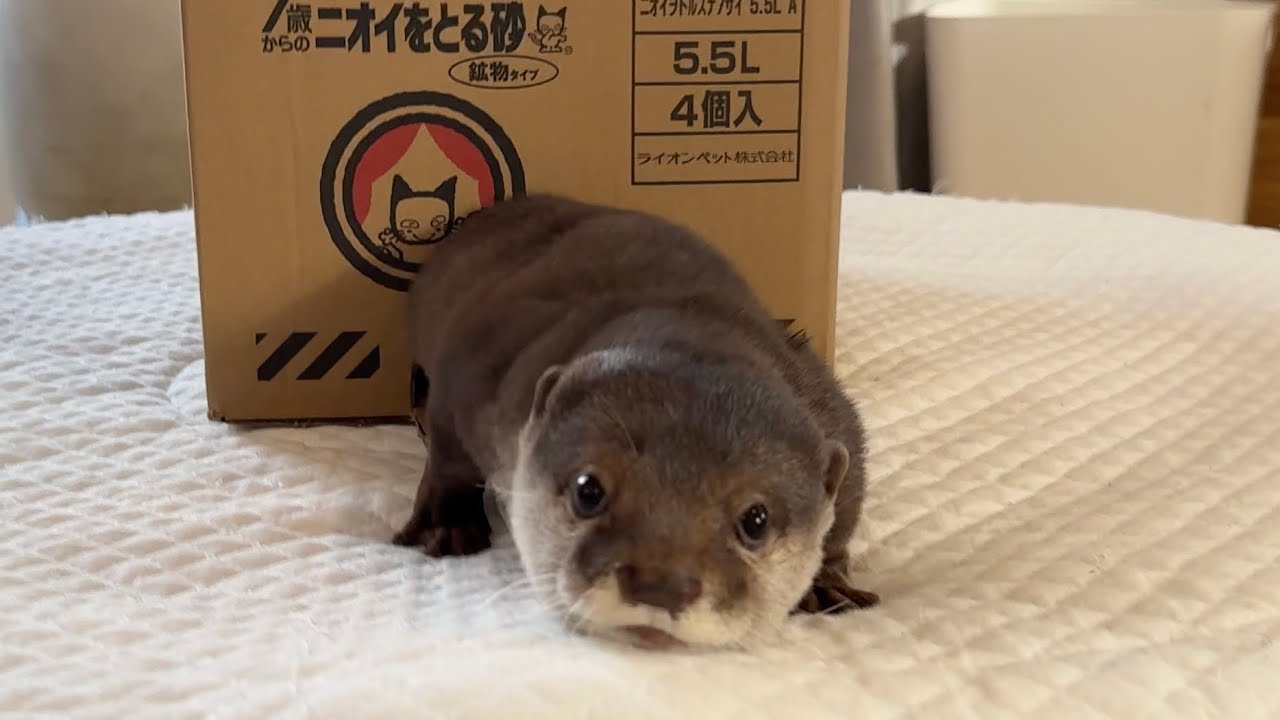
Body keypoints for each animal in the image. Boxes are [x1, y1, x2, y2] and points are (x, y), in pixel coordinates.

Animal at [392, 195, 878, 649]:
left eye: (756, 520)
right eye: (588, 490)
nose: (661, 586)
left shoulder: (832, 414)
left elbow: (846, 507)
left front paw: (829, 586)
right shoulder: (477, 368)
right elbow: (449, 454)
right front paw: (445, 523)